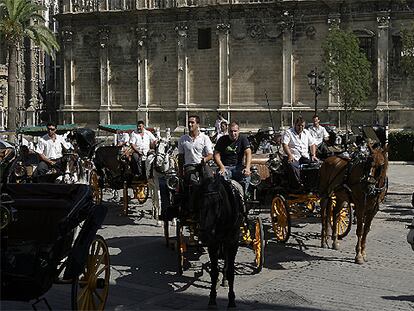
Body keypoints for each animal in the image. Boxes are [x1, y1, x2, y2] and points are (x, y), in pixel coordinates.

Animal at [197, 165, 243, 310]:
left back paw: (225, 280)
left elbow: (231, 271)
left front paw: (232, 300)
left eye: (217, 203)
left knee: (227, 262)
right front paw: (212, 299)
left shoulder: (233, 242)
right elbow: (214, 271)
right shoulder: (213, 243)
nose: (203, 235)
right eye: (199, 202)